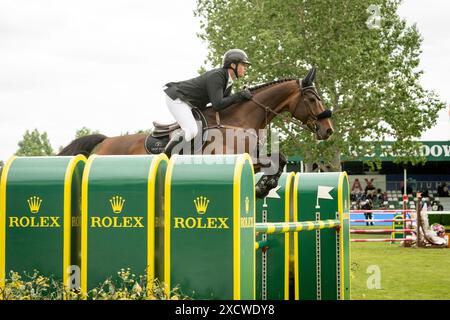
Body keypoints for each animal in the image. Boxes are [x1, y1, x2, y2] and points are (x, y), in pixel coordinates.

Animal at [59, 68, 334, 198]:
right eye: (312, 98)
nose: (328, 130)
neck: (238, 120)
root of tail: (105, 141)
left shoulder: (252, 158)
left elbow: (280, 160)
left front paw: (263, 187)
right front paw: (262, 188)